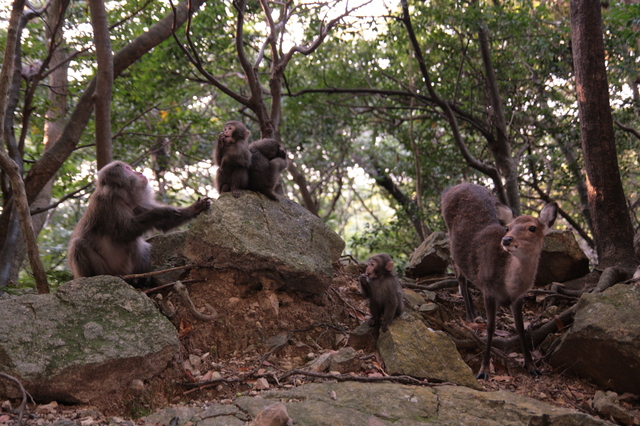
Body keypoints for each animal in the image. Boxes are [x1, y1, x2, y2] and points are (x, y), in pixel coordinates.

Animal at [69, 161, 211, 288]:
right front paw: (160, 212)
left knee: (145, 248)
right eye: (127, 169)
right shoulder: (107, 204)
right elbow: (124, 233)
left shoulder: (139, 203)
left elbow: (162, 224)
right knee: (79, 245)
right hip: (106, 269)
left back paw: (141, 280)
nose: (139, 172)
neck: (123, 197)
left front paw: (195, 208)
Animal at [442, 183, 556, 380]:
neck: (507, 285)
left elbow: (520, 327)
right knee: (460, 276)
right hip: (449, 238)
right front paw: (483, 370)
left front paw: (532, 366)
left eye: (532, 228)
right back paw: (470, 316)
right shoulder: (489, 290)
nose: (507, 240)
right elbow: (491, 327)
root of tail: (451, 188)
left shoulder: (519, 297)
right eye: (508, 227)